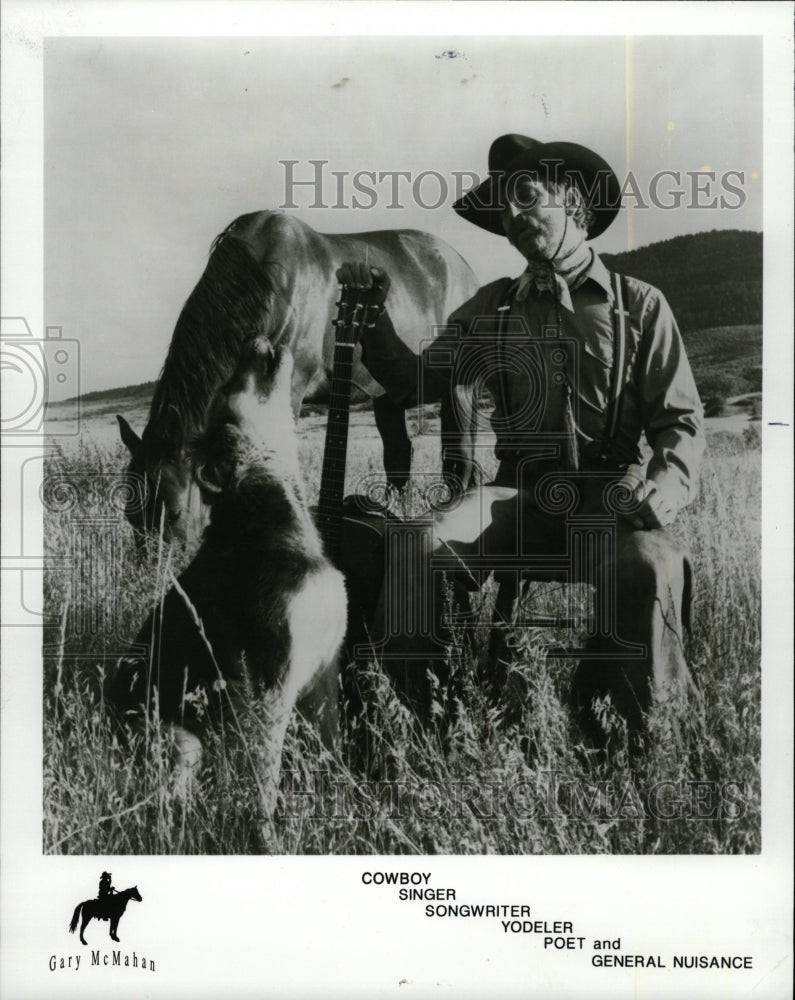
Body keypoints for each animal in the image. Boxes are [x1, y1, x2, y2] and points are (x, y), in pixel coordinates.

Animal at [116, 206, 478, 544]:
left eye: (175, 514)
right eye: (131, 517)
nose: (153, 570)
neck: (267, 284)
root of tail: (463, 265)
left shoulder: (287, 390)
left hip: (458, 389)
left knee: (460, 456)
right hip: (386, 393)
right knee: (399, 456)